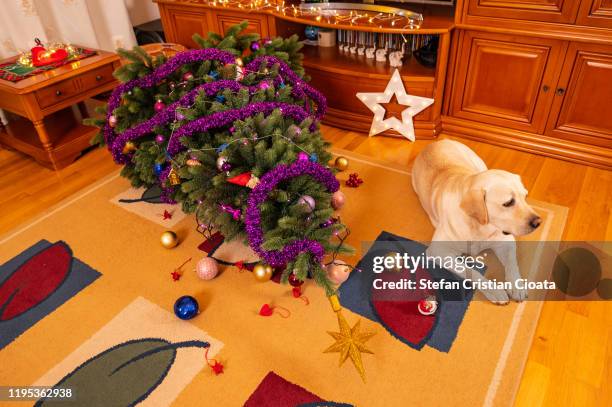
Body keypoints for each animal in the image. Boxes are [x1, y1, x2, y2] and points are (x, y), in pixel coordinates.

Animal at [412, 142, 540, 304]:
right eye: (508, 202)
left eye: (525, 197)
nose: (538, 222)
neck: (479, 227)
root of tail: (436, 142)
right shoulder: (438, 251)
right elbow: (470, 271)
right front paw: (494, 290)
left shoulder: (506, 241)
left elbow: (512, 264)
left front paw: (516, 286)